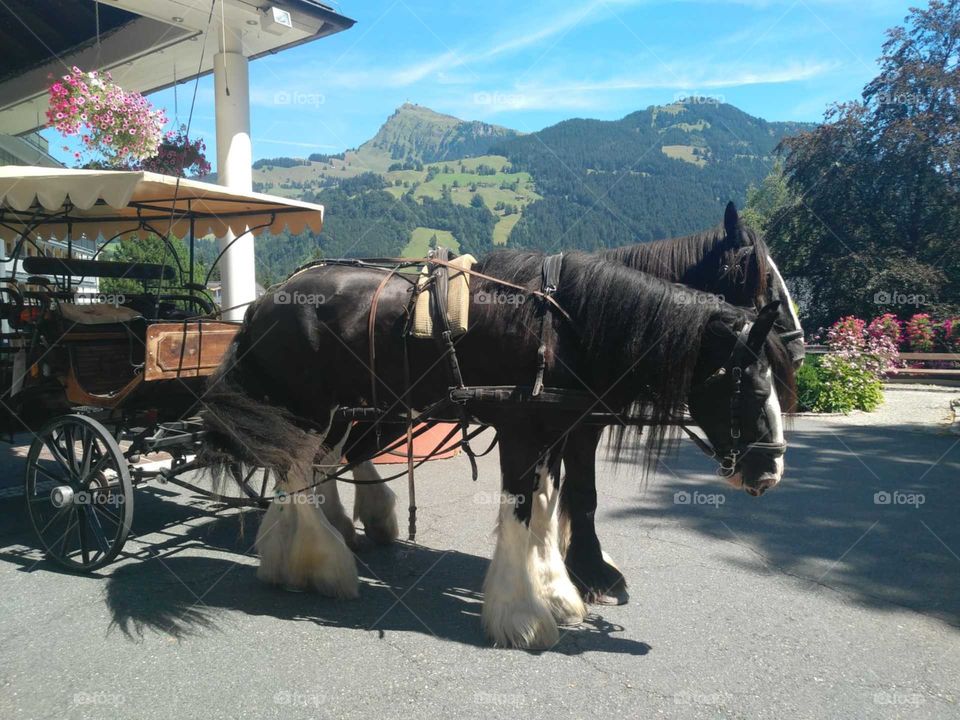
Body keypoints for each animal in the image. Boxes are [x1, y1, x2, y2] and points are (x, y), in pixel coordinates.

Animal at [199, 249, 795, 648]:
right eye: (747, 385)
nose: (769, 472)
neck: (561, 330)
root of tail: (263, 304)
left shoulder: (559, 430)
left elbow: (553, 507)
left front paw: (560, 591)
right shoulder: (521, 429)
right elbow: (522, 511)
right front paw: (523, 615)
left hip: (338, 411)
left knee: (305, 466)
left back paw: (294, 552)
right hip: (307, 409)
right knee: (297, 470)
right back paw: (322, 564)